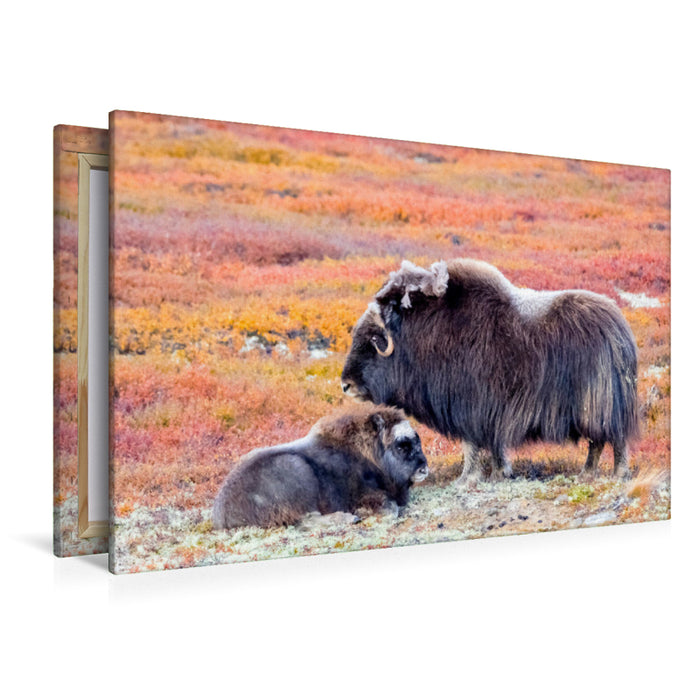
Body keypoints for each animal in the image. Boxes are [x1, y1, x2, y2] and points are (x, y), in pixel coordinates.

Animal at [212, 405, 428, 529]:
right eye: (401, 445)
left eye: (417, 440)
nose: (424, 469)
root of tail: (223, 514)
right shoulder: (366, 495)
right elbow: (390, 508)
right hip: (297, 472)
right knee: (306, 520)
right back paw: (349, 519)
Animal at [341, 259, 639, 483]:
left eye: (373, 339)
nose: (345, 384)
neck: (422, 336)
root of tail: (620, 328)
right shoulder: (487, 411)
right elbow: (493, 445)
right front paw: (499, 473)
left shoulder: (467, 406)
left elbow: (470, 445)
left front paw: (466, 479)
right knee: (598, 442)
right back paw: (587, 473)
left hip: (599, 404)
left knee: (611, 438)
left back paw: (616, 473)